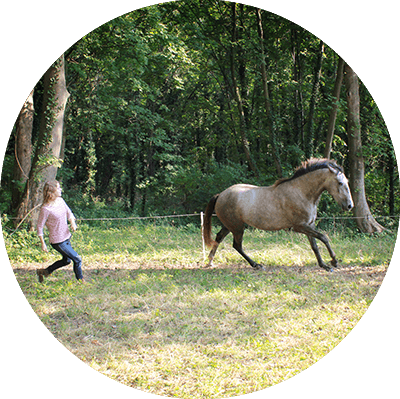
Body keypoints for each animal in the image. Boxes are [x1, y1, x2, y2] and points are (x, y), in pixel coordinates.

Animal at [203, 159, 354, 272]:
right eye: (340, 183)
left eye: (347, 182)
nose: (349, 206)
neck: (301, 193)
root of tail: (220, 195)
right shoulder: (299, 227)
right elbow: (324, 237)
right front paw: (334, 261)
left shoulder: (309, 225)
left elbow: (315, 246)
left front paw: (324, 265)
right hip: (237, 227)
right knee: (237, 245)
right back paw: (256, 265)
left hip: (230, 225)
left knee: (219, 237)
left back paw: (210, 261)